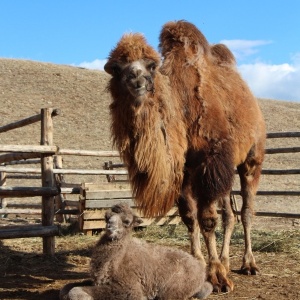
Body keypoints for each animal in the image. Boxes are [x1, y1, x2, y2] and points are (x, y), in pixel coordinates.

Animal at [59, 203, 212, 298]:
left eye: (127, 221)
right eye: (106, 217)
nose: (110, 226)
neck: (116, 261)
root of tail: (201, 270)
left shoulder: (129, 289)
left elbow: (75, 291)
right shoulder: (98, 281)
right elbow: (67, 287)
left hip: (173, 289)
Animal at [104, 20, 266, 292]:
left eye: (151, 65)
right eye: (116, 68)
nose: (136, 77)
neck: (182, 111)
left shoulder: (208, 162)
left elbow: (207, 219)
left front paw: (217, 277)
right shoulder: (183, 171)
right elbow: (190, 218)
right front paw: (199, 265)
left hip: (252, 159)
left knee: (246, 211)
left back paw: (249, 264)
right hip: (226, 168)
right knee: (229, 215)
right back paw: (226, 261)